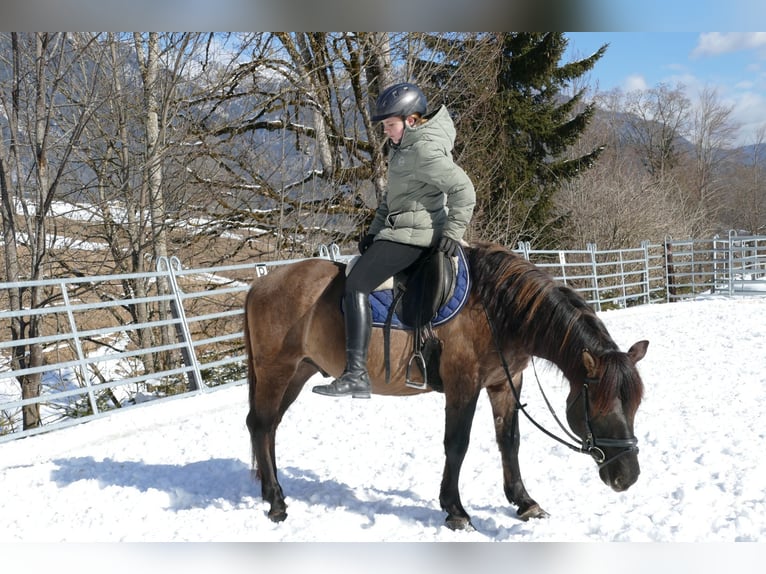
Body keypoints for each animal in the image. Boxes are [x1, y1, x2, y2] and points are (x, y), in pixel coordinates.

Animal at [244, 242, 648, 532]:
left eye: (634, 406)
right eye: (596, 407)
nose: (628, 477)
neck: (496, 309)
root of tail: (260, 284)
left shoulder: (504, 383)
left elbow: (509, 441)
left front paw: (523, 501)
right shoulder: (462, 384)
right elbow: (457, 445)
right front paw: (455, 510)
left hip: (297, 372)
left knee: (268, 427)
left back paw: (269, 490)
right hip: (277, 370)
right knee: (261, 425)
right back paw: (276, 503)